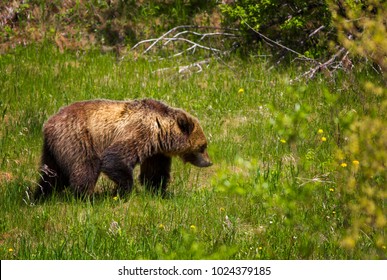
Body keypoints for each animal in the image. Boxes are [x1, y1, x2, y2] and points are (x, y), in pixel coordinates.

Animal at [34, 99, 212, 199]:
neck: (160, 130)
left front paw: (159, 192)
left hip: (54, 148)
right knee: (85, 166)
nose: (209, 162)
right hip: (77, 138)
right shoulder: (140, 132)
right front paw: (123, 191)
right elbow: (115, 158)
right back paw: (85, 197)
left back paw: (41, 196)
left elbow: (155, 172)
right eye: (203, 146)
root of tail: (48, 123)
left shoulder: (156, 152)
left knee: (52, 175)